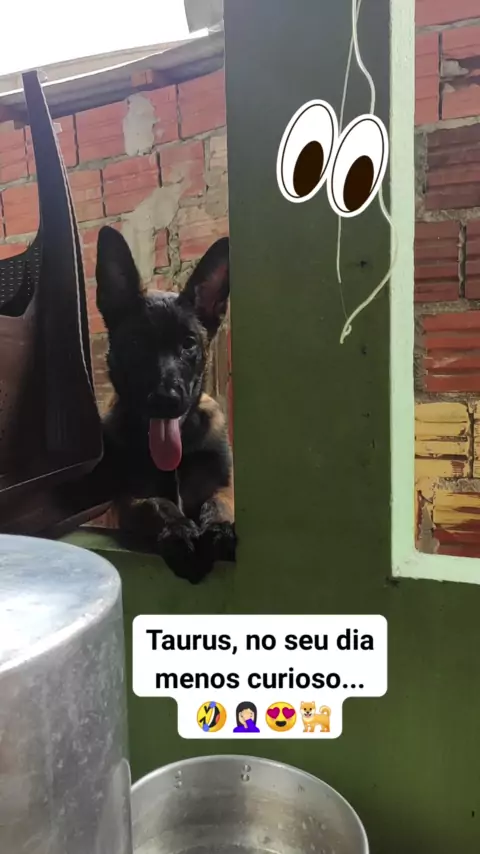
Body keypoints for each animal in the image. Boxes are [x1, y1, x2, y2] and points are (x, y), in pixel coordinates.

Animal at [93, 225, 236, 584]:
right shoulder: (129, 500)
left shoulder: (225, 486)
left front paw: (219, 530)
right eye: (134, 343)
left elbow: (218, 504)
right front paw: (180, 532)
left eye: (188, 343)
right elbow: (158, 505)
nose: (165, 400)